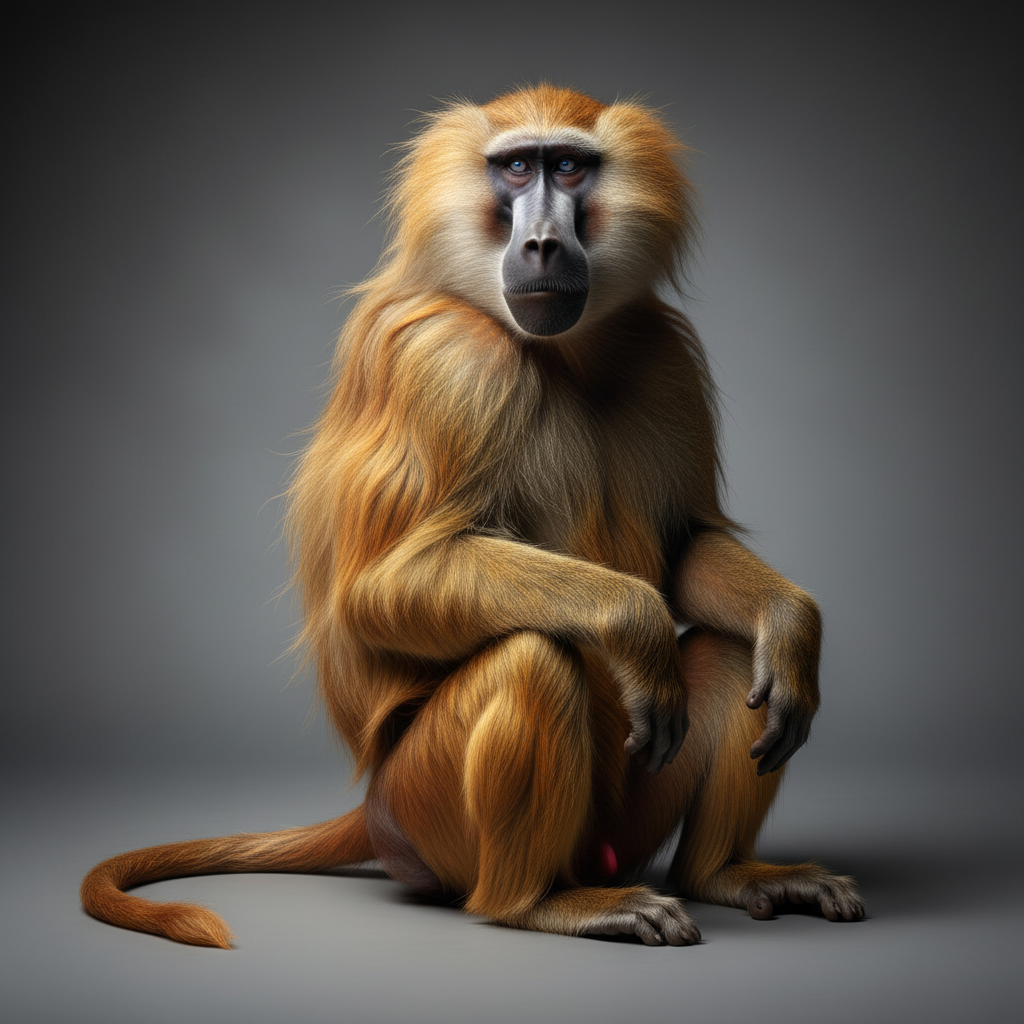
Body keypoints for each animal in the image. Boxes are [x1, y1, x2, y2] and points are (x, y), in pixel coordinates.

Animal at [81, 84, 864, 948]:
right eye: (517, 169)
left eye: (569, 167)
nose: (545, 244)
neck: (563, 351)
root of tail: (375, 807)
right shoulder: (452, 363)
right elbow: (382, 589)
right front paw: (633, 621)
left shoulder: (664, 356)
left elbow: (689, 547)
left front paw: (790, 623)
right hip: (427, 811)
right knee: (530, 660)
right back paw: (541, 903)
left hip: (622, 811)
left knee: (731, 653)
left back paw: (722, 873)